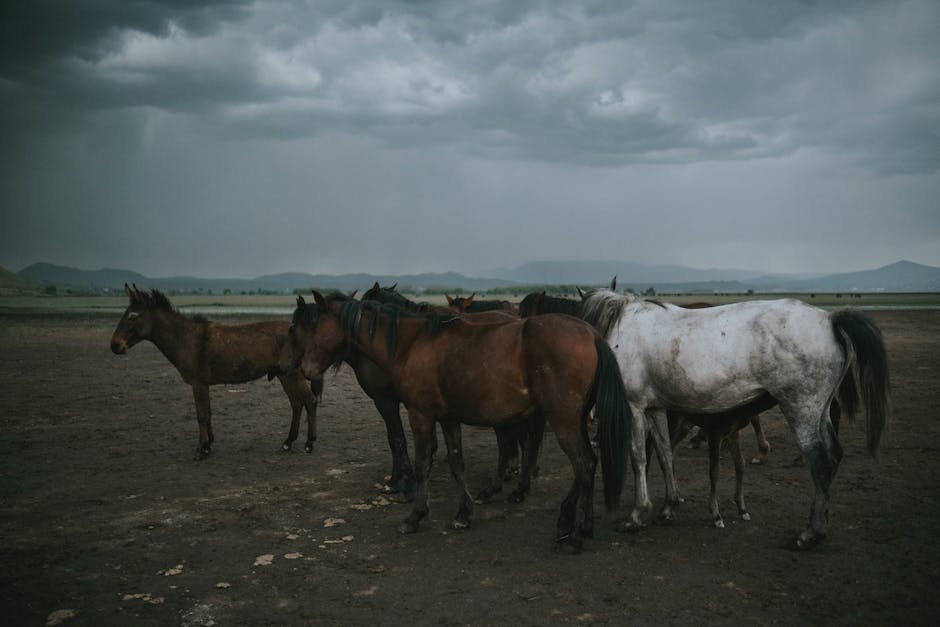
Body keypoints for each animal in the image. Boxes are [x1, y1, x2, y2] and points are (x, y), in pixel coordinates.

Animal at [109, 284, 324, 462]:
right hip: (284, 375)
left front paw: (201, 449)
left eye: (132, 316)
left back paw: (309, 443)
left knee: (309, 401)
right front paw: (208, 444)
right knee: (297, 404)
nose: (114, 346)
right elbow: (208, 413)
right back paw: (288, 442)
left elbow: (201, 415)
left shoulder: (198, 384)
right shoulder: (203, 385)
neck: (187, 339)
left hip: (291, 375)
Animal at [576, 290, 892, 548]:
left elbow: (639, 458)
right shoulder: (655, 408)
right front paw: (669, 505)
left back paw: (810, 534)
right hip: (820, 411)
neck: (621, 327)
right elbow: (666, 454)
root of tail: (829, 319)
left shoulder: (635, 406)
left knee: (821, 461)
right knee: (834, 457)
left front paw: (637, 514)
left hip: (802, 409)